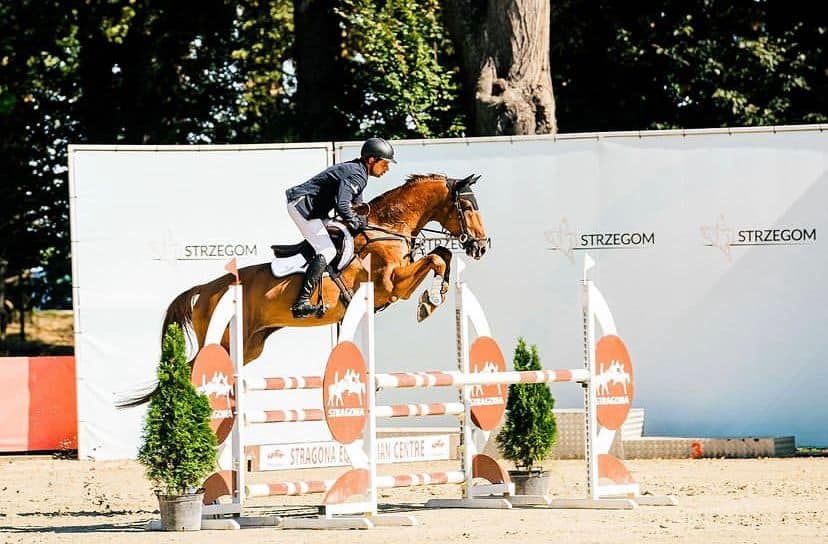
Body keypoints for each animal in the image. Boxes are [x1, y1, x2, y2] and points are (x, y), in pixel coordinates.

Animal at [118, 173, 490, 407]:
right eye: (469, 207)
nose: (482, 246)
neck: (387, 227)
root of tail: (206, 288)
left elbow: (441, 255)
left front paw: (438, 293)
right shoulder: (391, 284)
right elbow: (436, 259)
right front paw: (430, 301)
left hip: (249, 345)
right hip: (223, 337)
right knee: (195, 370)